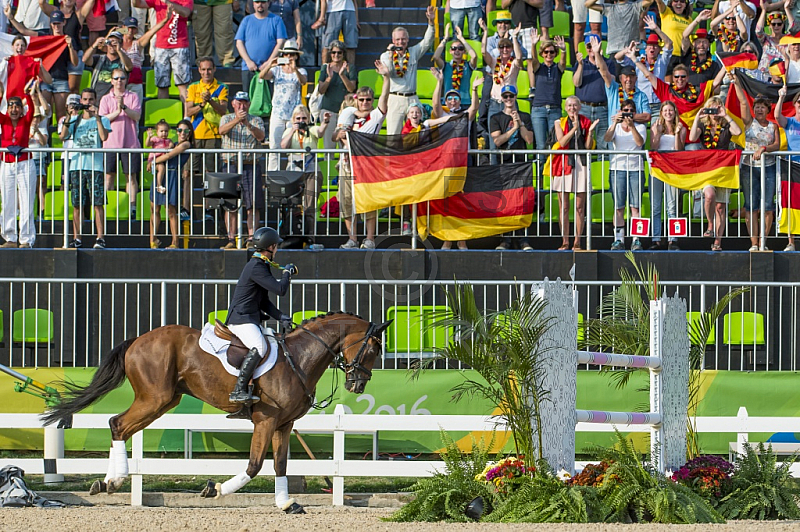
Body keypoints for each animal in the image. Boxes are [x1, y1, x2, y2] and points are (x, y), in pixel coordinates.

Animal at [41, 312, 390, 512]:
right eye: (372, 349)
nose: (358, 384)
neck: (299, 357)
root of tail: (139, 339)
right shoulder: (266, 420)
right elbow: (254, 465)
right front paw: (216, 489)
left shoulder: (285, 424)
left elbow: (280, 465)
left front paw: (286, 503)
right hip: (155, 398)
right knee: (117, 424)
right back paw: (113, 481)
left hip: (164, 401)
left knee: (121, 427)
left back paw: (107, 483)